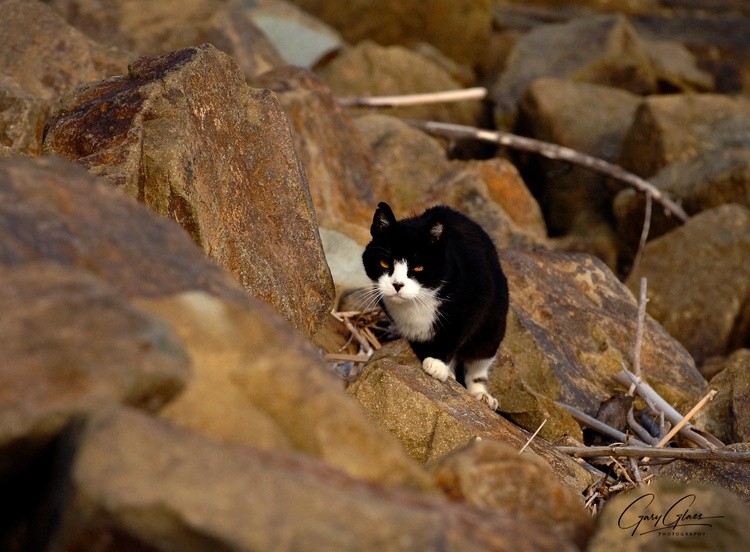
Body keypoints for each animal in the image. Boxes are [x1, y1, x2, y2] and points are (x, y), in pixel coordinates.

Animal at [364, 203, 512, 410]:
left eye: (419, 267)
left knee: (479, 359)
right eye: (384, 263)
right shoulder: (408, 326)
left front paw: (436, 365)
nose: (397, 285)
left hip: (493, 324)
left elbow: (453, 337)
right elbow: (421, 344)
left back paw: (482, 395)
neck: (419, 300)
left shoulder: (470, 308)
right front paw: (441, 369)